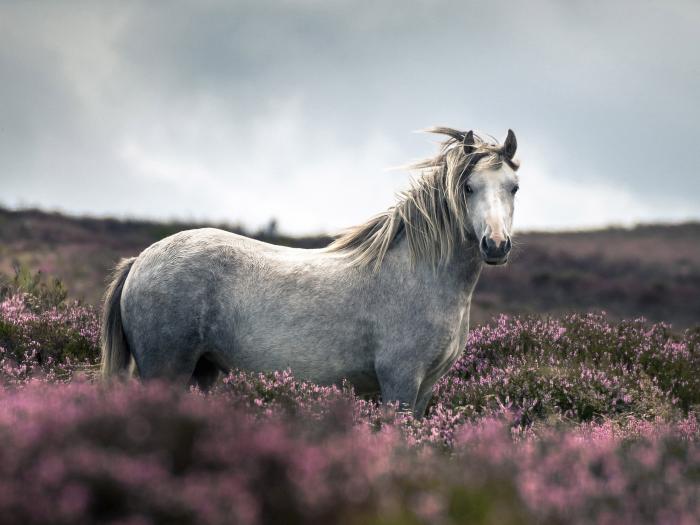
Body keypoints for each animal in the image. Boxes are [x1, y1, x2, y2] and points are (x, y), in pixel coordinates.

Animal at [102, 127, 520, 414]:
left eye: (513, 186)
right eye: (468, 187)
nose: (496, 245)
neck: (420, 275)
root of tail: (140, 260)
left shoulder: (425, 387)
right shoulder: (399, 382)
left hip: (202, 372)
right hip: (166, 370)